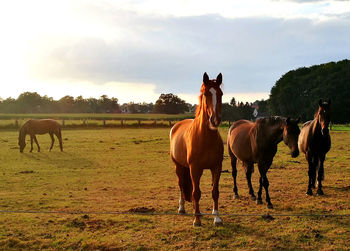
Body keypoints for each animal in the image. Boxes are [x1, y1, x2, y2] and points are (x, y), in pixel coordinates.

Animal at [170, 72, 224, 227]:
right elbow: (196, 193)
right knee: (182, 186)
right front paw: (197, 220)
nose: (214, 120)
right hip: (179, 166)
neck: (205, 138)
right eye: (206, 94)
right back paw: (182, 208)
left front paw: (217, 217)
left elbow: (215, 192)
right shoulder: (195, 168)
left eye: (220, 94)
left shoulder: (216, 167)